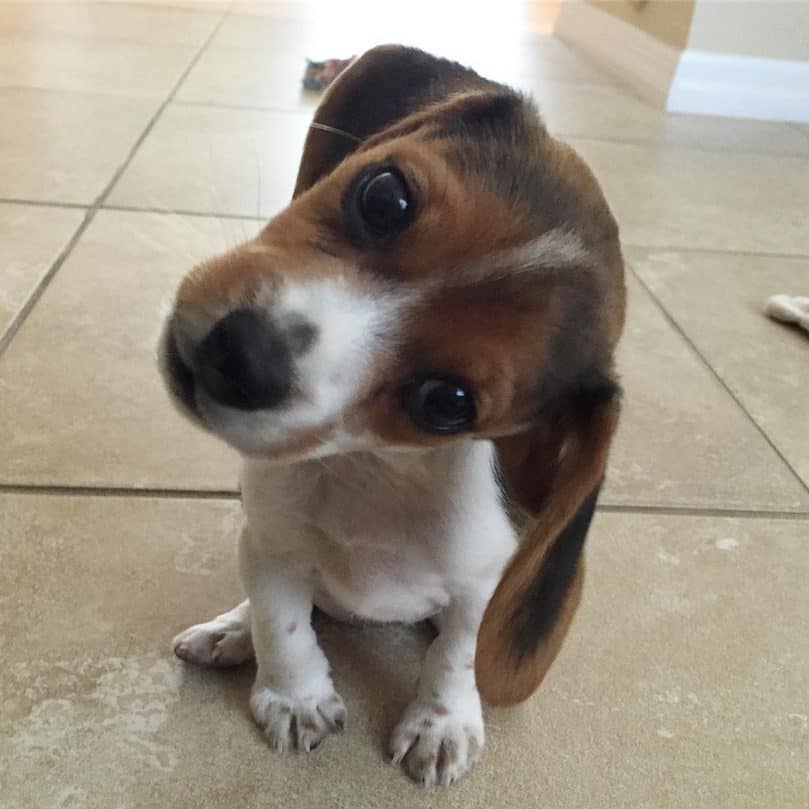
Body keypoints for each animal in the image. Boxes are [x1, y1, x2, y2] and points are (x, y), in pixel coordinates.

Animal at [159, 44, 624, 784]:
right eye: (384, 196)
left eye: (447, 403)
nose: (243, 355)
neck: (371, 470)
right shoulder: (269, 542)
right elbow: (281, 621)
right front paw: (294, 694)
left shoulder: (479, 588)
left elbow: (455, 655)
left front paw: (442, 723)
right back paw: (231, 628)